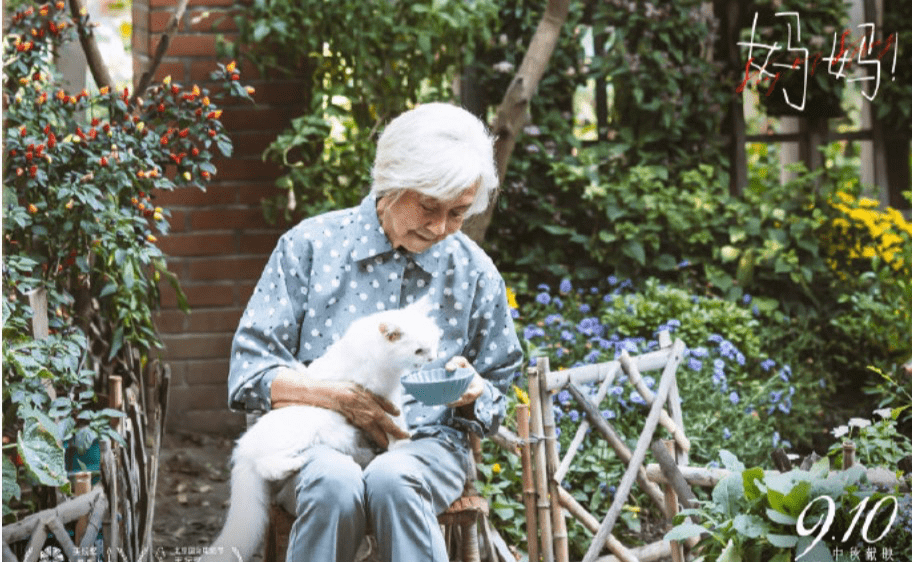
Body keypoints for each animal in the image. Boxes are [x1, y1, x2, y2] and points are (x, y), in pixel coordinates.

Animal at [206, 298, 438, 556]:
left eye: (434, 343)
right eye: (419, 351)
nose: (432, 359)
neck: (375, 353)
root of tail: (242, 450)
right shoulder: (382, 398)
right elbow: (396, 425)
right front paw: (402, 443)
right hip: (299, 436)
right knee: (265, 465)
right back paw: (294, 463)